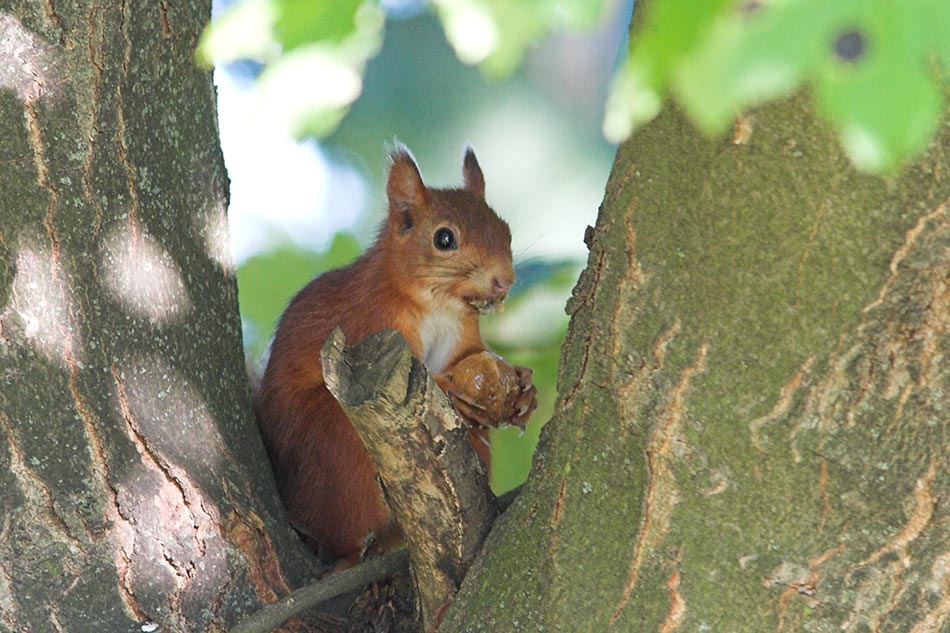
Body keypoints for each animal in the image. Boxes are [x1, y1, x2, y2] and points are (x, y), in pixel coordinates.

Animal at [255, 144, 536, 564]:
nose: (505, 281)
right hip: (338, 445)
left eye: (505, 230)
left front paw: (521, 383)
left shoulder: (462, 335)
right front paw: (452, 390)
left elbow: (471, 356)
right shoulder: (370, 323)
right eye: (444, 239)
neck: (436, 305)